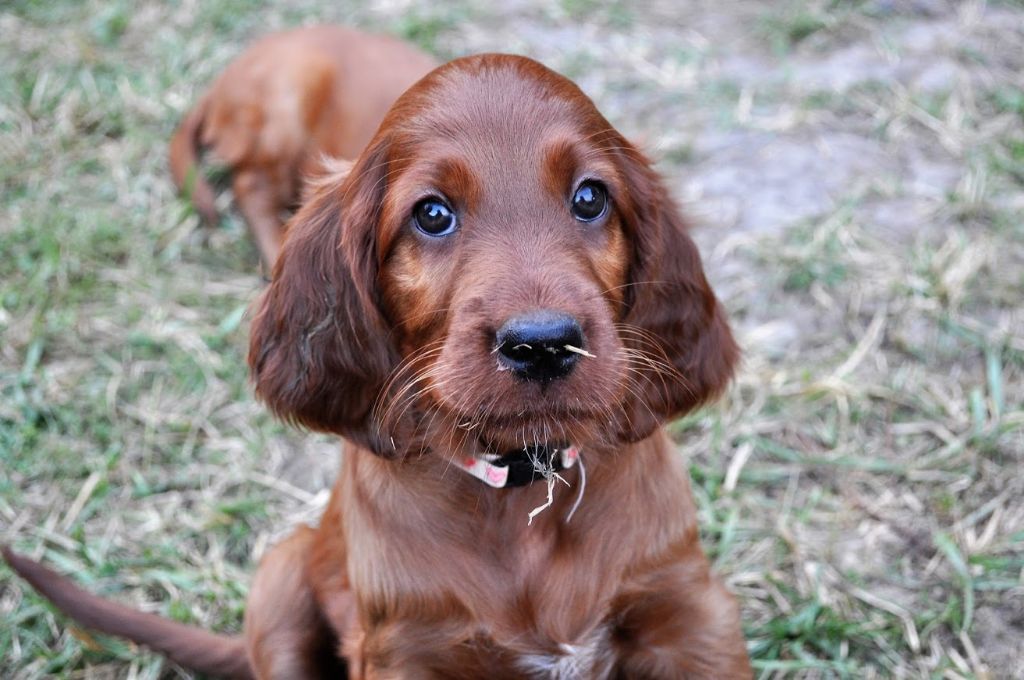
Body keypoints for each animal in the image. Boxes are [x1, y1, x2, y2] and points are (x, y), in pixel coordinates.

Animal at [6, 55, 753, 675]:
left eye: (590, 198)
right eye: (432, 213)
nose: (543, 343)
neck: (520, 495)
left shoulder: (694, 615)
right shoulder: (405, 649)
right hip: (279, 576)